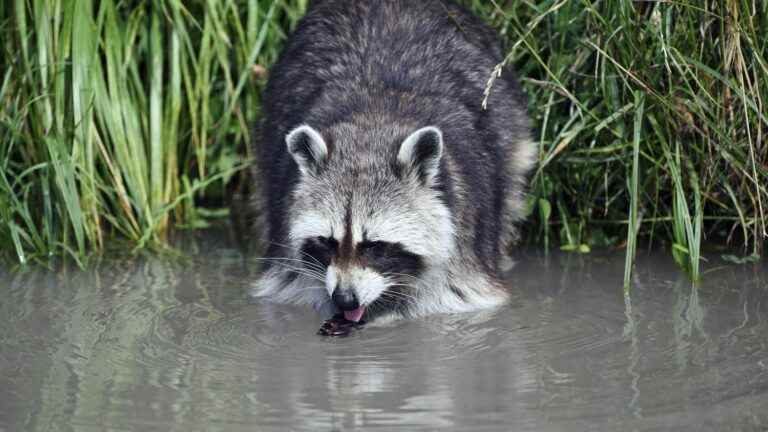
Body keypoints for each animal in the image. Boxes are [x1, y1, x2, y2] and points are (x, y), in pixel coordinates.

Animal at [249, 0, 536, 324]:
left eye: (374, 245)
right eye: (326, 241)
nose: (345, 299)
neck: (371, 125)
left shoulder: (464, 239)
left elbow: (454, 291)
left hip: (508, 125)